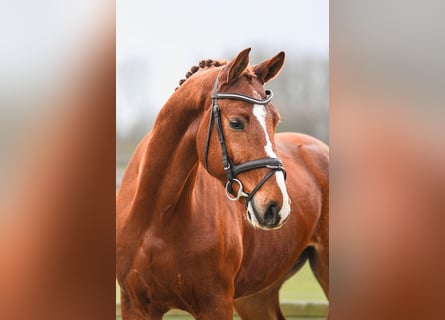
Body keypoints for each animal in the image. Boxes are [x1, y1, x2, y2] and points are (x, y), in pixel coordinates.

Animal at [116, 48, 328, 320]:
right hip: (256, 297)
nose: (276, 207)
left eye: (276, 120)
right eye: (236, 122)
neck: (156, 219)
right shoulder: (135, 305)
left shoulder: (215, 304)